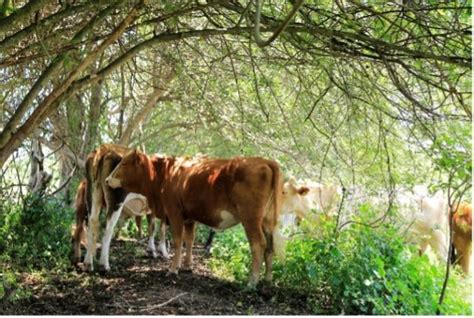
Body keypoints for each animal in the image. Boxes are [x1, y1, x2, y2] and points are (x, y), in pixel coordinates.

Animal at [106, 150, 286, 286]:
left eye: (123, 164)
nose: (107, 180)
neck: (165, 175)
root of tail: (265, 161)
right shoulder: (189, 217)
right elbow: (189, 239)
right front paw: (187, 266)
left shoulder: (174, 212)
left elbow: (178, 240)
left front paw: (173, 269)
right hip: (267, 220)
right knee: (270, 246)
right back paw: (268, 280)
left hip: (250, 218)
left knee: (258, 244)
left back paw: (252, 282)